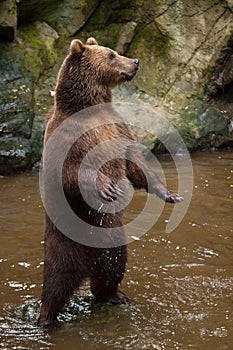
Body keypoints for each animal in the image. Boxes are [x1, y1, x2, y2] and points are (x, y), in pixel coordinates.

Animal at [37, 37, 182, 326]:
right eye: (112, 55)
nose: (135, 61)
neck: (89, 107)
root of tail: (84, 266)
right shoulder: (68, 135)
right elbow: (70, 170)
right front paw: (106, 187)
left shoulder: (117, 127)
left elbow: (135, 162)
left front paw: (170, 194)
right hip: (63, 244)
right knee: (55, 282)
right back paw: (46, 318)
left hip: (111, 241)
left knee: (110, 269)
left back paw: (115, 295)